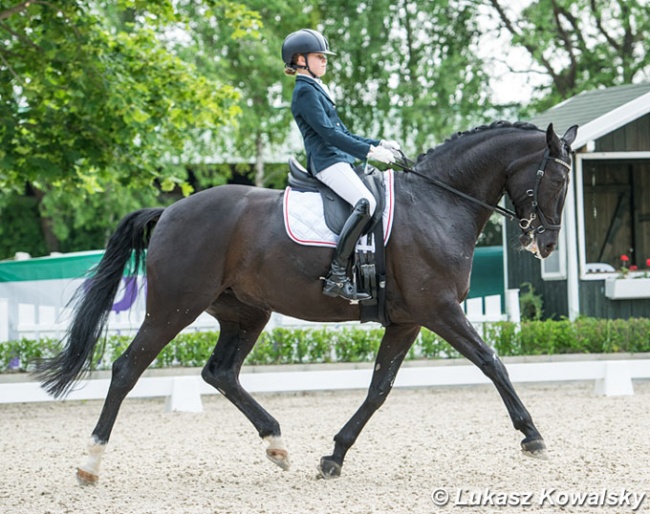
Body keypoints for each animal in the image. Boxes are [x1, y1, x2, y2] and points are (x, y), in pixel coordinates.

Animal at [38, 119, 576, 480]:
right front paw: (532, 436)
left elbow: (379, 389)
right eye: (557, 179)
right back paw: (90, 463)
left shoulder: (407, 321)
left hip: (245, 312)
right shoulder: (439, 309)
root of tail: (169, 211)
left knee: (220, 373)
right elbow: (491, 362)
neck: (438, 203)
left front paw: (334, 456)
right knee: (128, 368)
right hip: (174, 307)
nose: (548, 244)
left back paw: (277, 445)